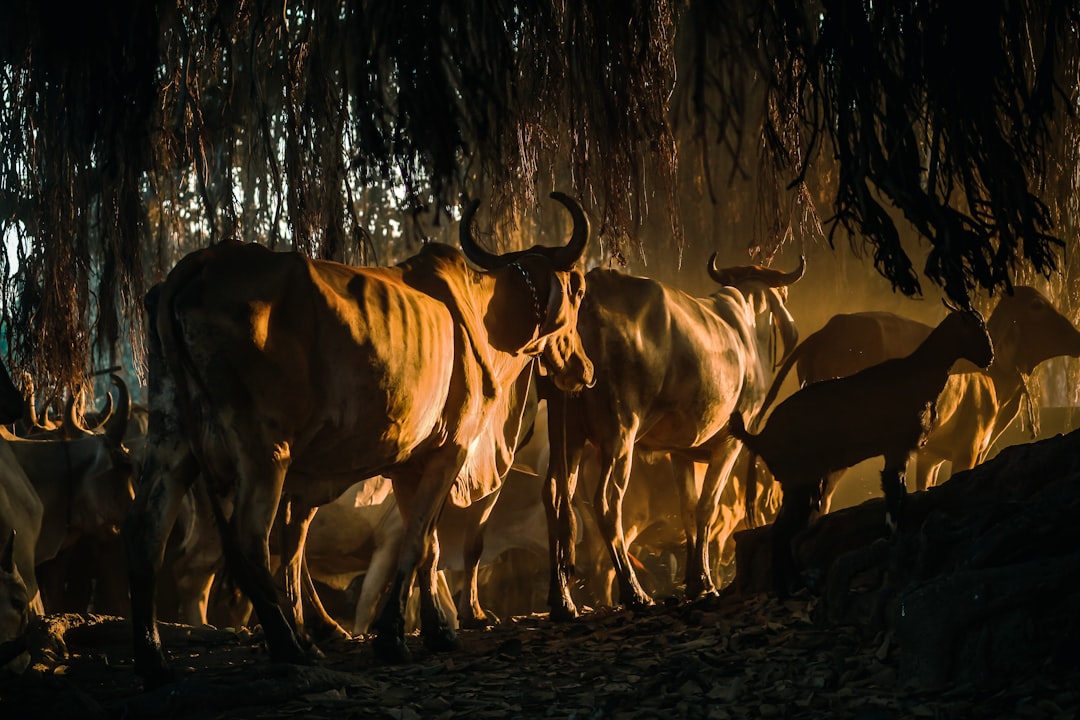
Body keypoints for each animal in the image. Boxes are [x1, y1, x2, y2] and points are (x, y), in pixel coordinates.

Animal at [127, 193, 600, 686]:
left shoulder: (411, 463)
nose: (584, 368)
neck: (487, 316)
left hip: (172, 442)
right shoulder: (450, 451)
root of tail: (200, 263)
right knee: (250, 540)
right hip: (264, 451)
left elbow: (427, 547)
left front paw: (437, 631)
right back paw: (291, 648)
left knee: (146, 535)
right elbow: (417, 541)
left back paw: (155, 660)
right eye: (578, 289)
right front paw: (393, 637)